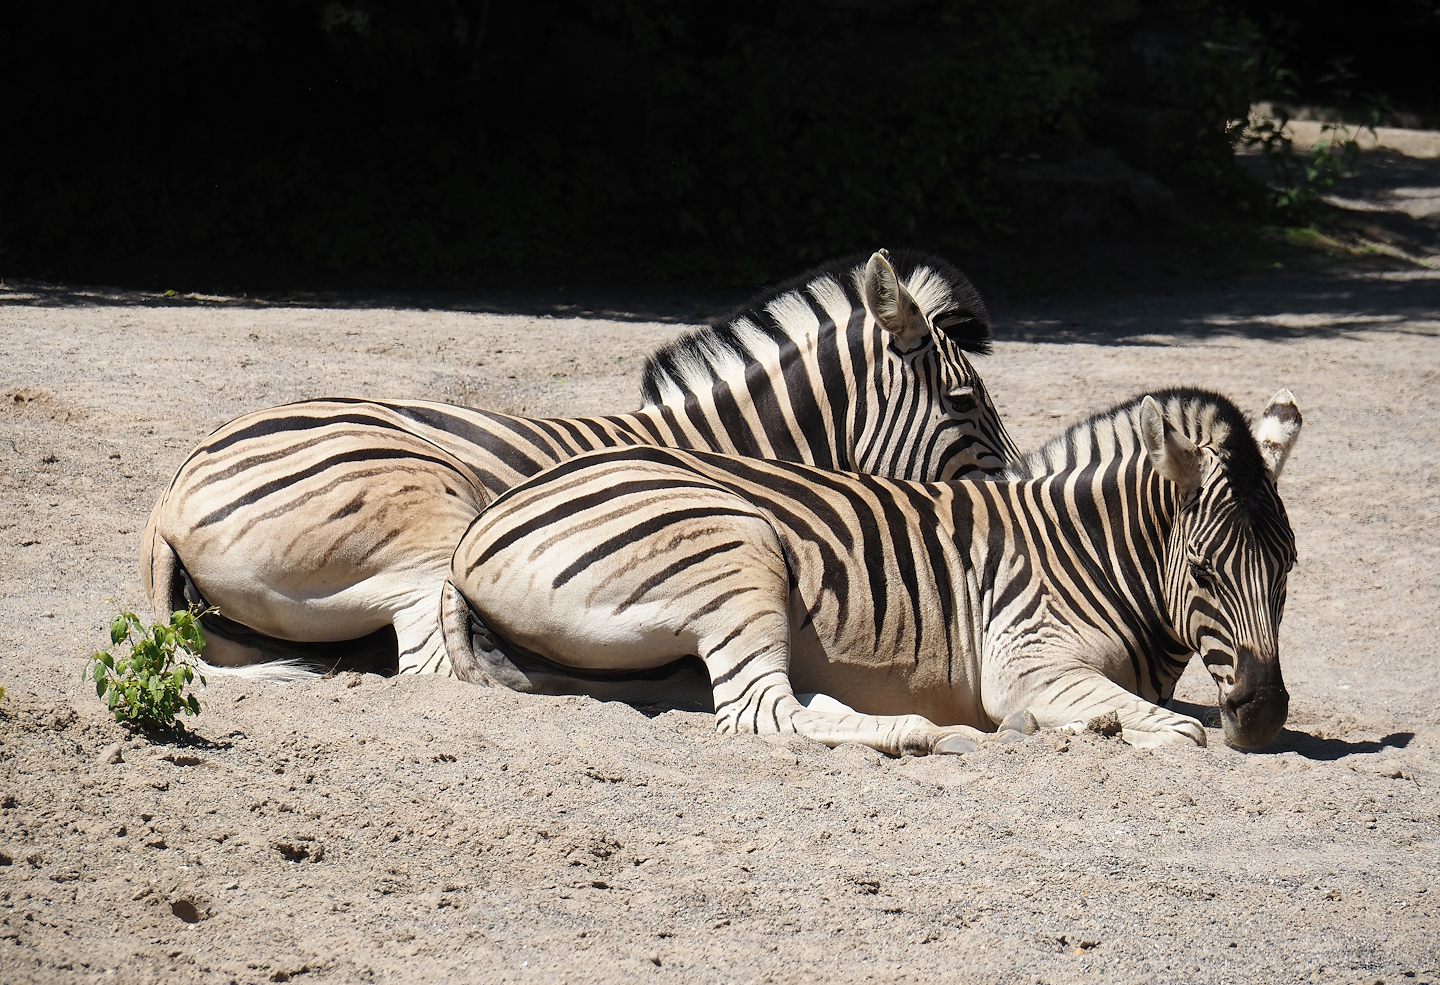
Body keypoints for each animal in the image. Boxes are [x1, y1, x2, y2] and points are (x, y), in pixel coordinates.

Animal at [445, 387, 1302, 754]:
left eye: (1290, 567)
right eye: (1204, 568)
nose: (1262, 715)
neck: (1085, 554)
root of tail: (477, 529)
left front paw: (1088, 722)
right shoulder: (1026, 660)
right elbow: (1182, 729)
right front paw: (1105, 725)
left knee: (777, 698)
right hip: (738, 546)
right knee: (759, 711)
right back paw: (922, 733)